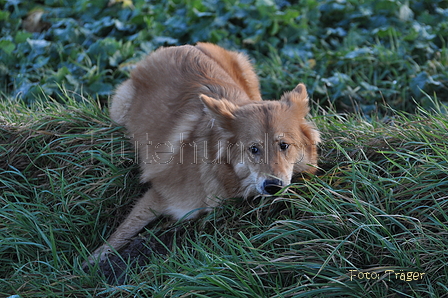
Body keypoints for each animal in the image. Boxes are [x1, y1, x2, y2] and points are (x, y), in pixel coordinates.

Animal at [86, 42, 320, 266]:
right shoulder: (160, 194)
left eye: (284, 145)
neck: (224, 173)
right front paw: (93, 259)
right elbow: (123, 231)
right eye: (254, 149)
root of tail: (181, 46)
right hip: (120, 110)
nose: (272, 186)